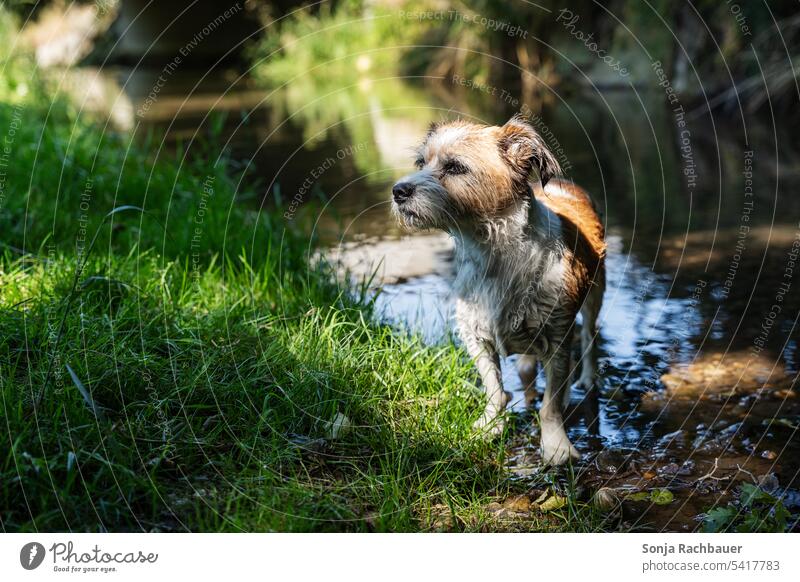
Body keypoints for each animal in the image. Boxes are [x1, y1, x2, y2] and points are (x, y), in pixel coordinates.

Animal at [390, 116, 604, 468]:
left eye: (454, 167)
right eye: (422, 163)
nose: (398, 191)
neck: (495, 253)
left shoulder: (558, 339)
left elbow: (550, 404)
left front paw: (556, 446)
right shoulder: (475, 337)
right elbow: (494, 388)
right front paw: (490, 426)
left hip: (595, 296)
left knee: (588, 338)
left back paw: (585, 379)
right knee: (528, 366)